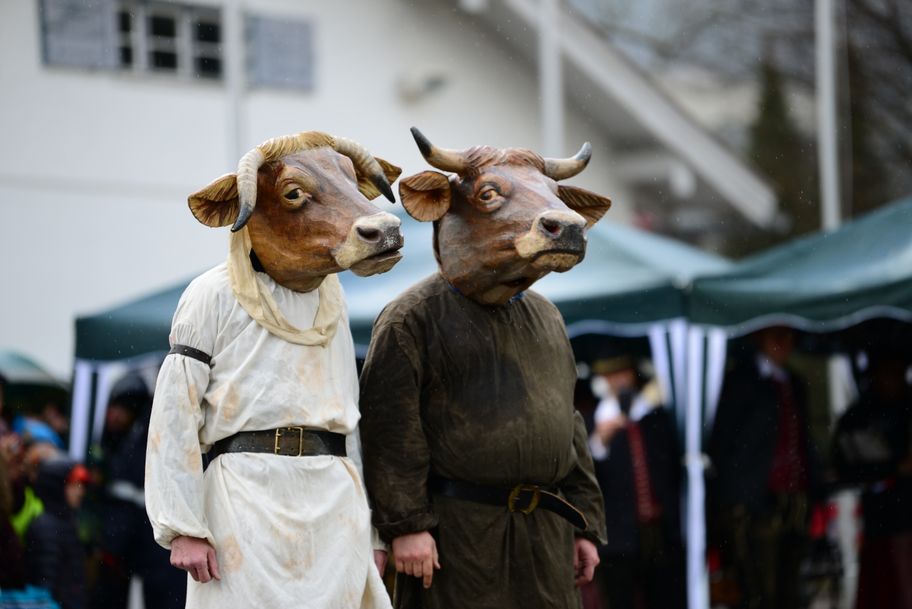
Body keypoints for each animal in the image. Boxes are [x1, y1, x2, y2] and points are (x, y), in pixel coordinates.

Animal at [145, 131, 402, 609]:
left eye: (349, 177)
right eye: (293, 192)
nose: (386, 231)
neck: (285, 288)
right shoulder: (187, 342)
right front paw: (189, 544)